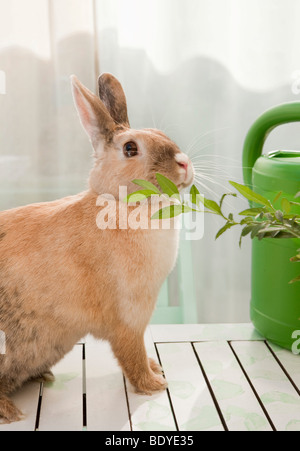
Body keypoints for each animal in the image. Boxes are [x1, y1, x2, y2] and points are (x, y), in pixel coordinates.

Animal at [0, 73, 195, 424]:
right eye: (130, 148)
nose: (184, 164)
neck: (119, 204)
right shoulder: (129, 318)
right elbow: (132, 355)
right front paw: (154, 384)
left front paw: (156, 368)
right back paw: (12, 413)